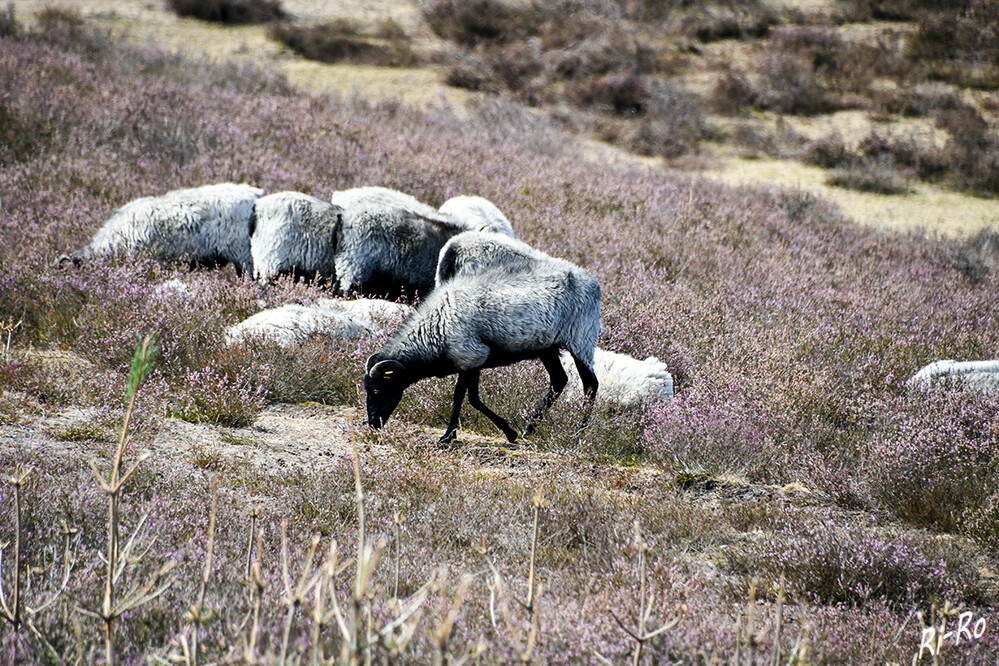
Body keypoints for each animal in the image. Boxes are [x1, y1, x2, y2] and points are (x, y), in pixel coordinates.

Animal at [368, 258, 600, 440]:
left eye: (378, 390)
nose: (372, 423)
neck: (435, 329)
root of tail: (594, 283)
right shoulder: (472, 362)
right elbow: (474, 398)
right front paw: (509, 432)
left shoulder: (470, 356)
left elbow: (461, 396)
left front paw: (448, 436)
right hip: (547, 347)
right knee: (559, 380)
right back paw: (530, 428)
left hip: (581, 340)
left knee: (590, 385)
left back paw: (579, 433)